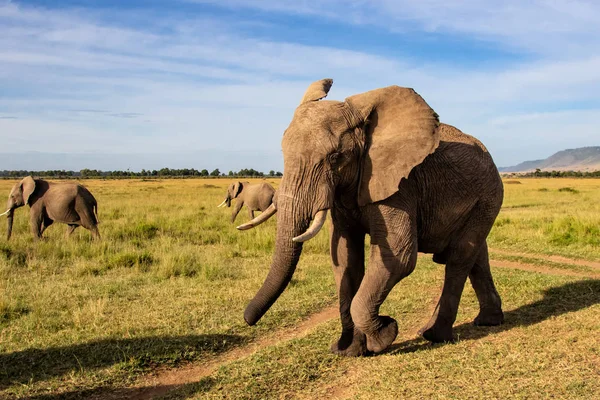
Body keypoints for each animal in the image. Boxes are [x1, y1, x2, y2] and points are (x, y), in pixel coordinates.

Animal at [237, 79, 504, 356]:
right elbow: (345, 258)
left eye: (336, 157)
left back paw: (434, 334)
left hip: (489, 196)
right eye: (282, 152)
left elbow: (399, 256)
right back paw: (487, 321)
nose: (248, 319)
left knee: (460, 256)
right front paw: (348, 350)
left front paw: (384, 335)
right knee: (477, 255)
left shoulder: (399, 186)